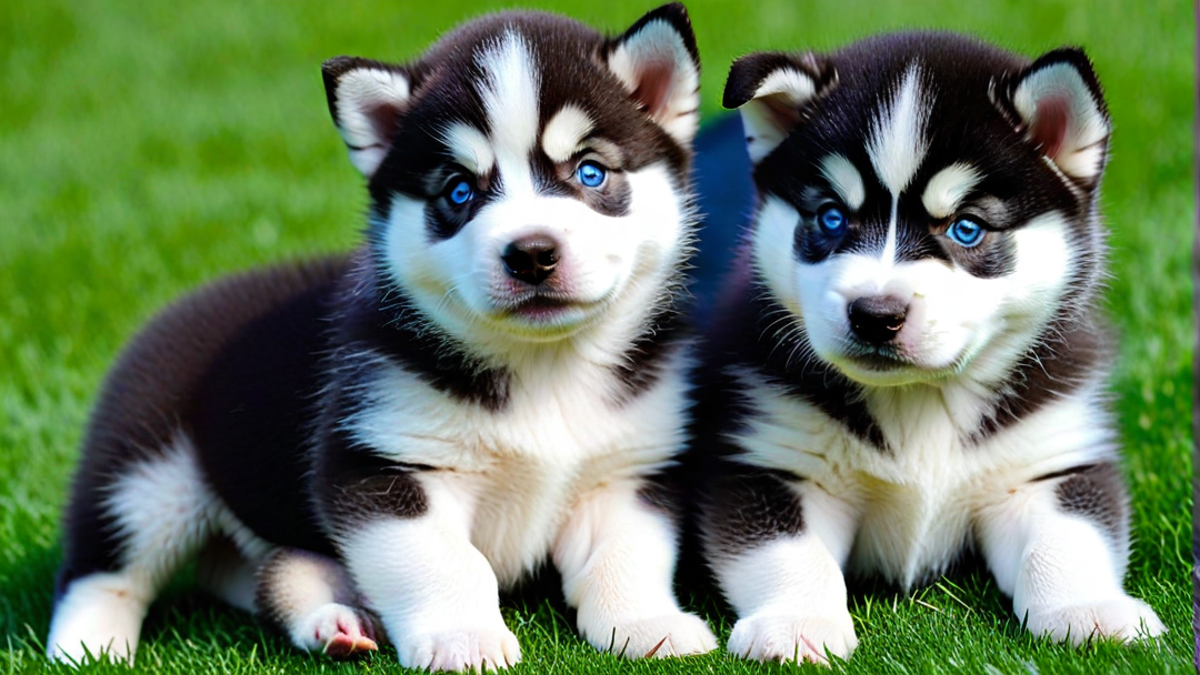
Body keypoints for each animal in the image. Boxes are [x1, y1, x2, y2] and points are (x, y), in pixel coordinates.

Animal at [49, 5, 720, 667]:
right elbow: (446, 564)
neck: (543, 368)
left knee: (269, 571)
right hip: (144, 476)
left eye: (591, 171)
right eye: (459, 190)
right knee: (101, 572)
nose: (531, 254)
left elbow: (625, 554)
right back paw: (89, 645)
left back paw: (332, 620)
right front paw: (463, 637)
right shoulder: (380, 462)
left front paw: (645, 622)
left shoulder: (629, 469)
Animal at [691, 32, 1166, 662]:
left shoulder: (1046, 463)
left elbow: (1067, 538)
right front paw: (795, 620)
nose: (876, 315)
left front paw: (1087, 608)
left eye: (967, 228)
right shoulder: (771, 460)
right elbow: (788, 552)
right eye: (831, 217)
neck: (919, 400)